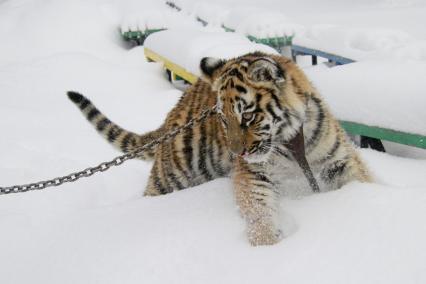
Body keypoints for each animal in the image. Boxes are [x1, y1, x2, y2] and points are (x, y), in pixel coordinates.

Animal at [68, 51, 372, 246]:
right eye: (224, 120)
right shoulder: (253, 174)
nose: (238, 154)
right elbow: (259, 211)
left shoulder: (337, 161)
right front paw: (267, 246)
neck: (289, 140)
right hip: (170, 179)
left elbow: (361, 180)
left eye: (247, 117)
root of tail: (168, 121)